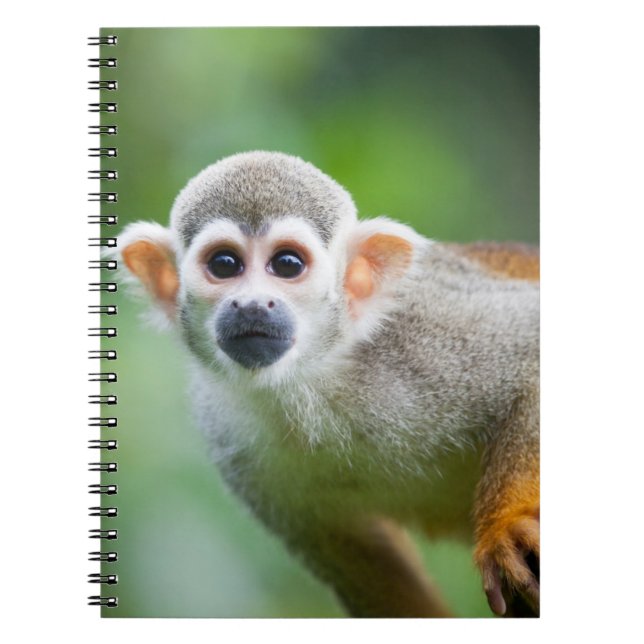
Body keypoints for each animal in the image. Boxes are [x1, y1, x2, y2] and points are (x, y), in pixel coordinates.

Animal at [119, 151, 539, 618]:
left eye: (287, 264)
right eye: (224, 265)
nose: (251, 305)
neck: (313, 378)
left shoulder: (425, 331)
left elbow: (531, 347)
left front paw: (504, 530)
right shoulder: (228, 433)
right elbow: (362, 558)